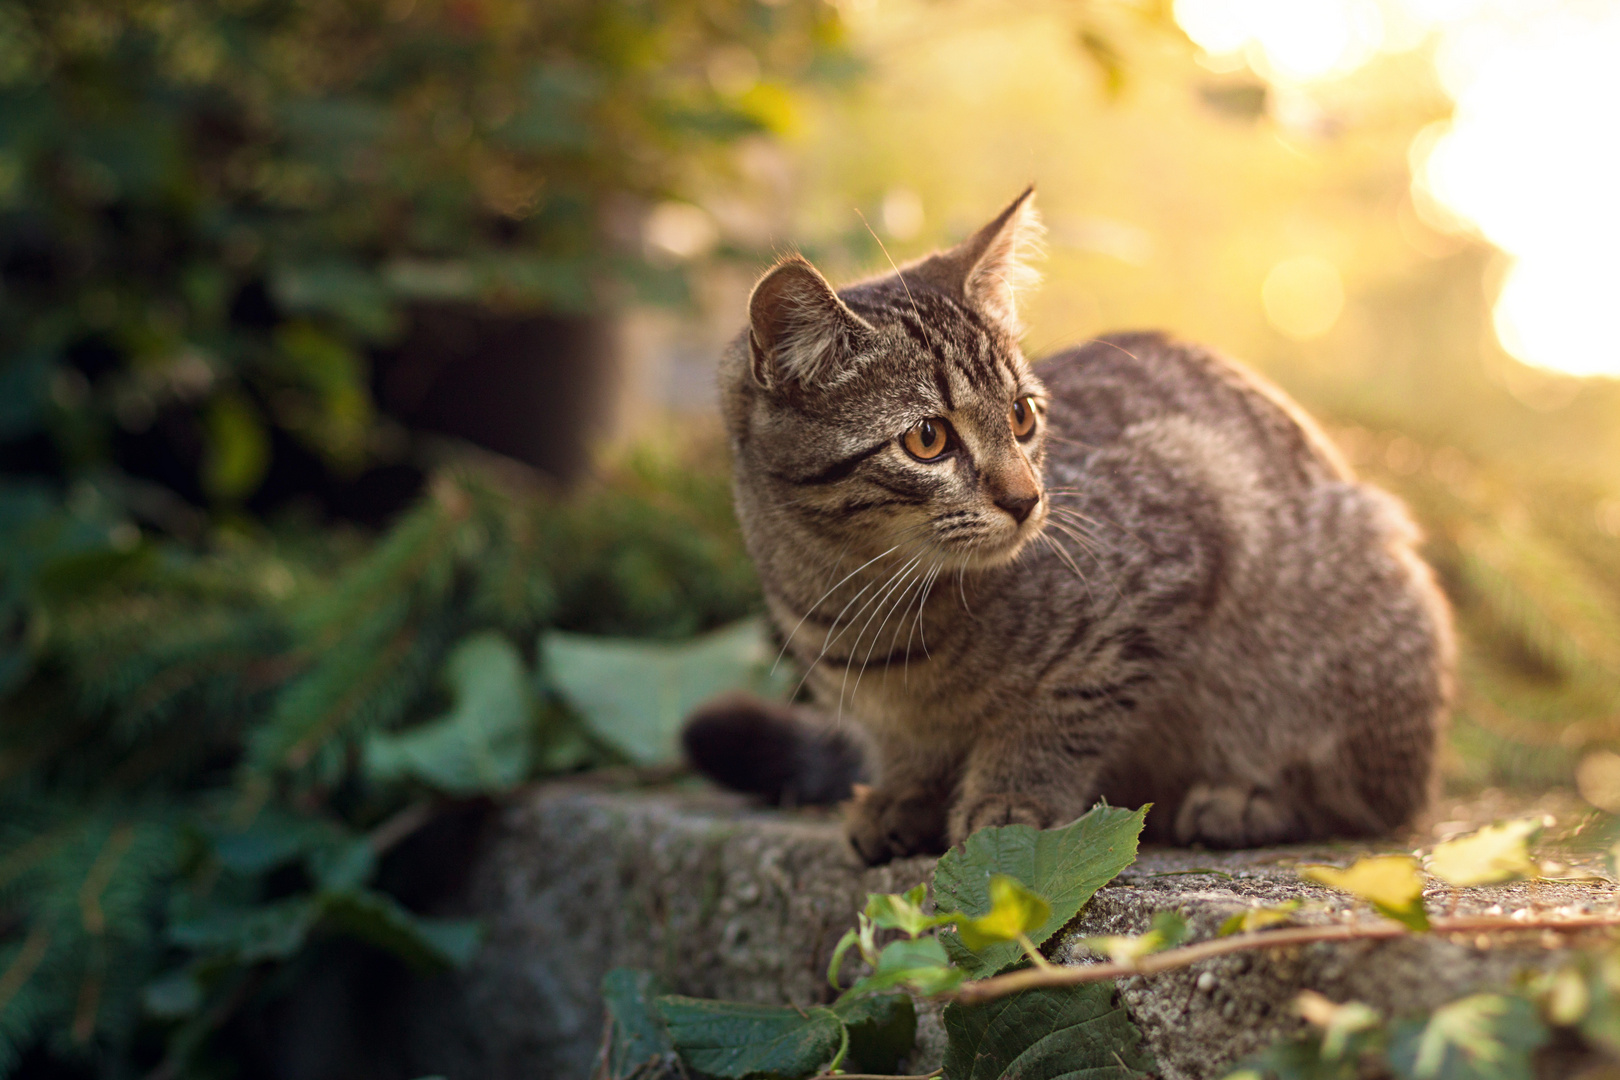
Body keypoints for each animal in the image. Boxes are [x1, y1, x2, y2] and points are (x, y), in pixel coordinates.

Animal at [683, 183, 1458, 861]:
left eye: (1023, 416)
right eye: (928, 439)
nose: (1026, 498)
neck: (867, 610)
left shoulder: (1179, 521)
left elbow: (1060, 712)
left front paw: (1012, 798)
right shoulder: (884, 710)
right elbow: (909, 750)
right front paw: (906, 793)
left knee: (1374, 800)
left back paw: (1245, 802)